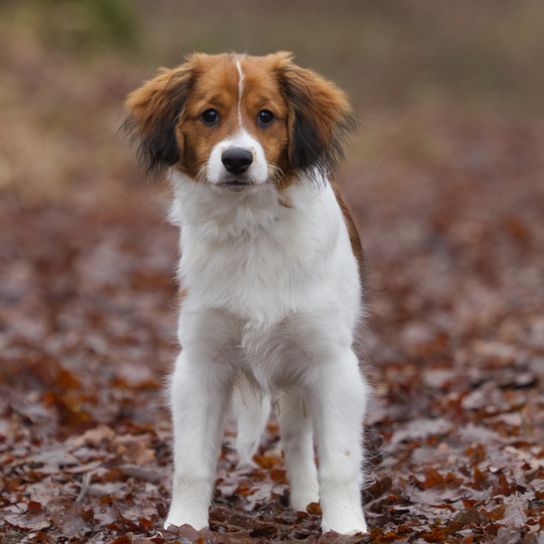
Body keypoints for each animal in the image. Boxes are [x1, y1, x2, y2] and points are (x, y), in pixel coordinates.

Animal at [123, 51, 370, 536]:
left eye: (266, 116)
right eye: (209, 115)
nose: (237, 159)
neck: (251, 229)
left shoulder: (332, 366)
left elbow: (339, 460)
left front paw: (345, 528)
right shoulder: (201, 363)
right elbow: (192, 463)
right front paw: (184, 526)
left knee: (297, 441)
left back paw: (308, 502)